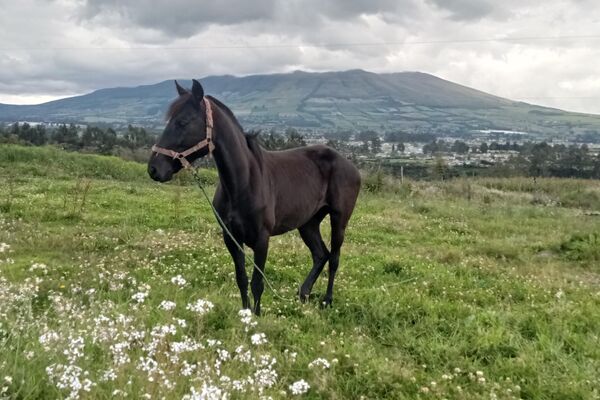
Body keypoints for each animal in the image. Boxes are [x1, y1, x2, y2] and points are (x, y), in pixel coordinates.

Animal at [148, 79, 360, 316]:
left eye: (183, 122)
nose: (154, 169)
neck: (243, 183)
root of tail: (351, 166)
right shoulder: (231, 237)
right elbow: (241, 278)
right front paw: (245, 314)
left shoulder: (261, 239)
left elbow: (257, 283)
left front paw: (257, 317)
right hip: (308, 223)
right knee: (320, 255)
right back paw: (303, 294)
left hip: (339, 220)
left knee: (334, 258)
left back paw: (327, 300)